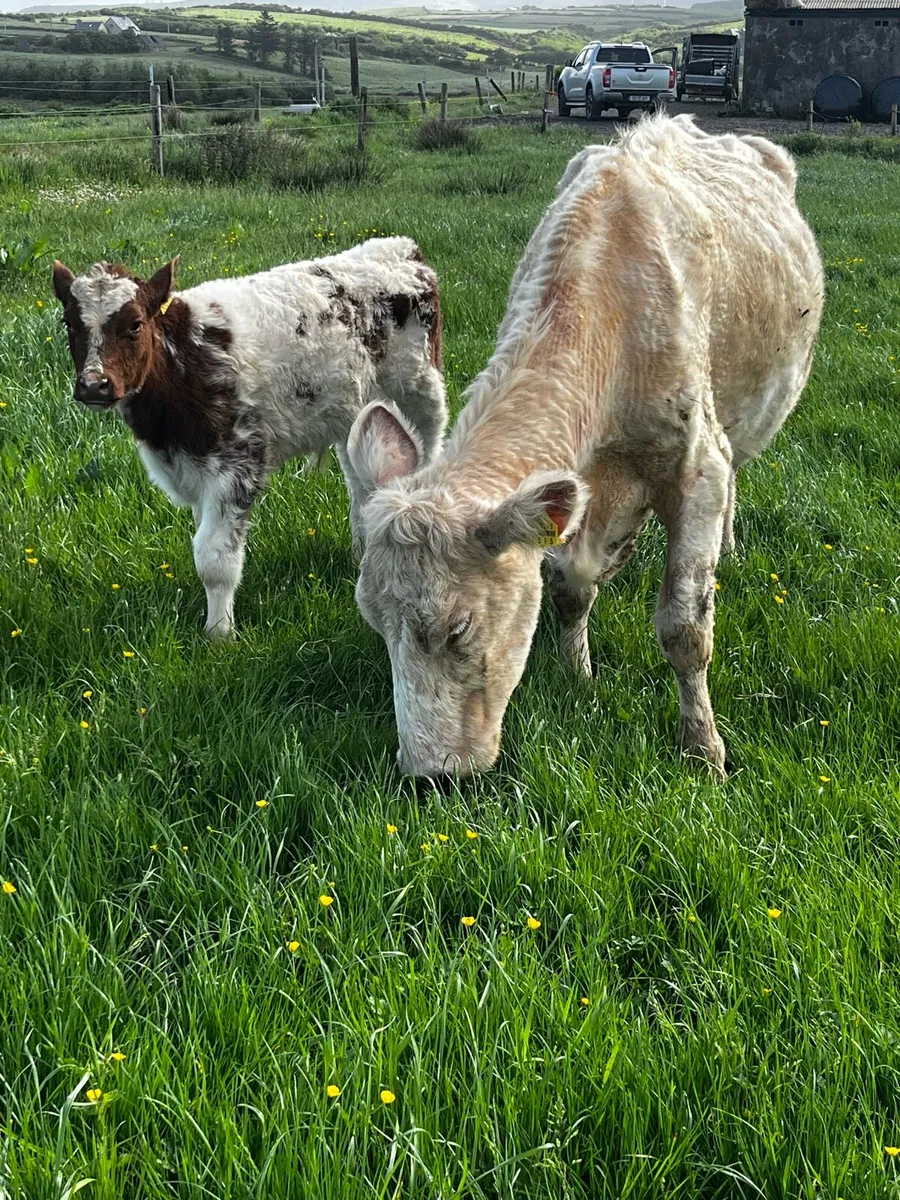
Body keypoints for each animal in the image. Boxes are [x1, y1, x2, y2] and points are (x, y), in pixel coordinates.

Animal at [52, 238, 447, 638]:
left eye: (134, 324)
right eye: (70, 323)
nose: (94, 385)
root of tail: (398, 247)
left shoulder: (238, 461)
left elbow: (214, 559)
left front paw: (219, 634)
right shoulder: (193, 467)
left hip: (420, 391)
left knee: (427, 452)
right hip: (354, 410)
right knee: (359, 479)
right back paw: (360, 550)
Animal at [345, 114, 824, 779]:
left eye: (459, 629)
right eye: (374, 622)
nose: (429, 776)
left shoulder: (697, 466)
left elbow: (685, 628)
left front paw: (703, 748)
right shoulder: (581, 494)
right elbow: (571, 585)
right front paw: (578, 674)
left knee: (736, 476)